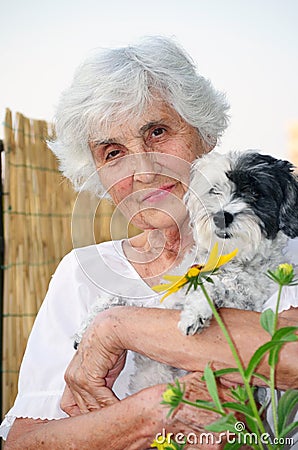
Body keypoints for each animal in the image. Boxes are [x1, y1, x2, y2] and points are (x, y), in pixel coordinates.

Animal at [74, 149, 298, 392]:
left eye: (255, 192)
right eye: (214, 190)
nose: (221, 216)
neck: (226, 260)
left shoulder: (245, 299)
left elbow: (220, 286)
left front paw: (195, 314)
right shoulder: (160, 304)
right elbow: (118, 300)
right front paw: (86, 326)